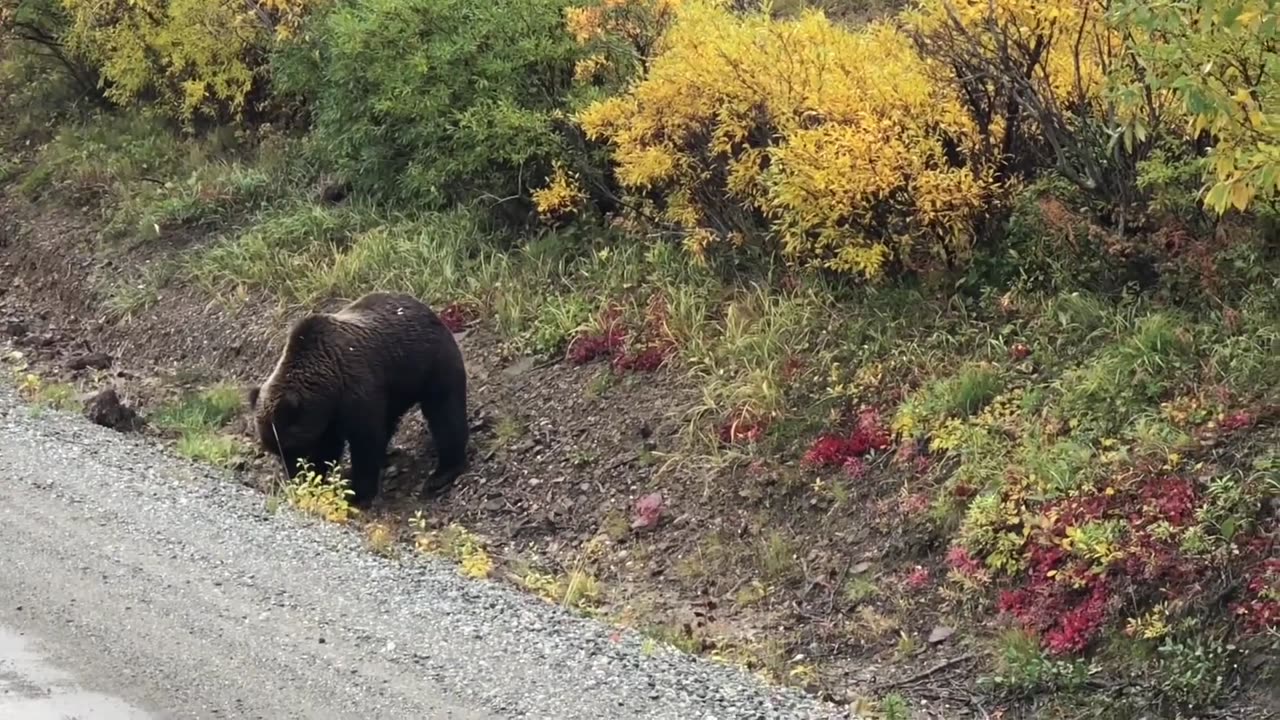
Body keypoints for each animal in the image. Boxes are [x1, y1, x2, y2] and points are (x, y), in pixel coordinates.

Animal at [247, 292, 468, 504]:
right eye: (276, 451)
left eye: (292, 448)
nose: (295, 476)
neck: (328, 386)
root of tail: (429, 311)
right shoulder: (328, 417)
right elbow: (330, 447)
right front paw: (320, 481)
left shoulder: (357, 392)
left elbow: (364, 442)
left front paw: (357, 493)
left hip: (430, 366)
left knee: (445, 413)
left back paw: (442, 473)